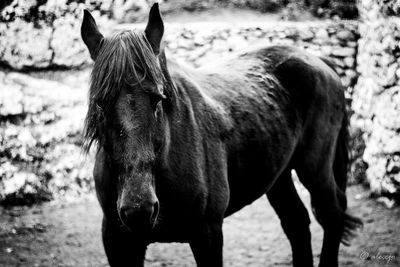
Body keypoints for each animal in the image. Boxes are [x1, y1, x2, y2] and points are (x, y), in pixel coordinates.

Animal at [79, 4, 360, 267]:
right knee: (297, 222)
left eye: (158, 99)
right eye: (100, 103)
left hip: (315, 170)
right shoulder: (117, 240)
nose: (139, 208)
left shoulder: (208, 234)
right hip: (278, 175)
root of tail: (319, 61)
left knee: (331, 215)